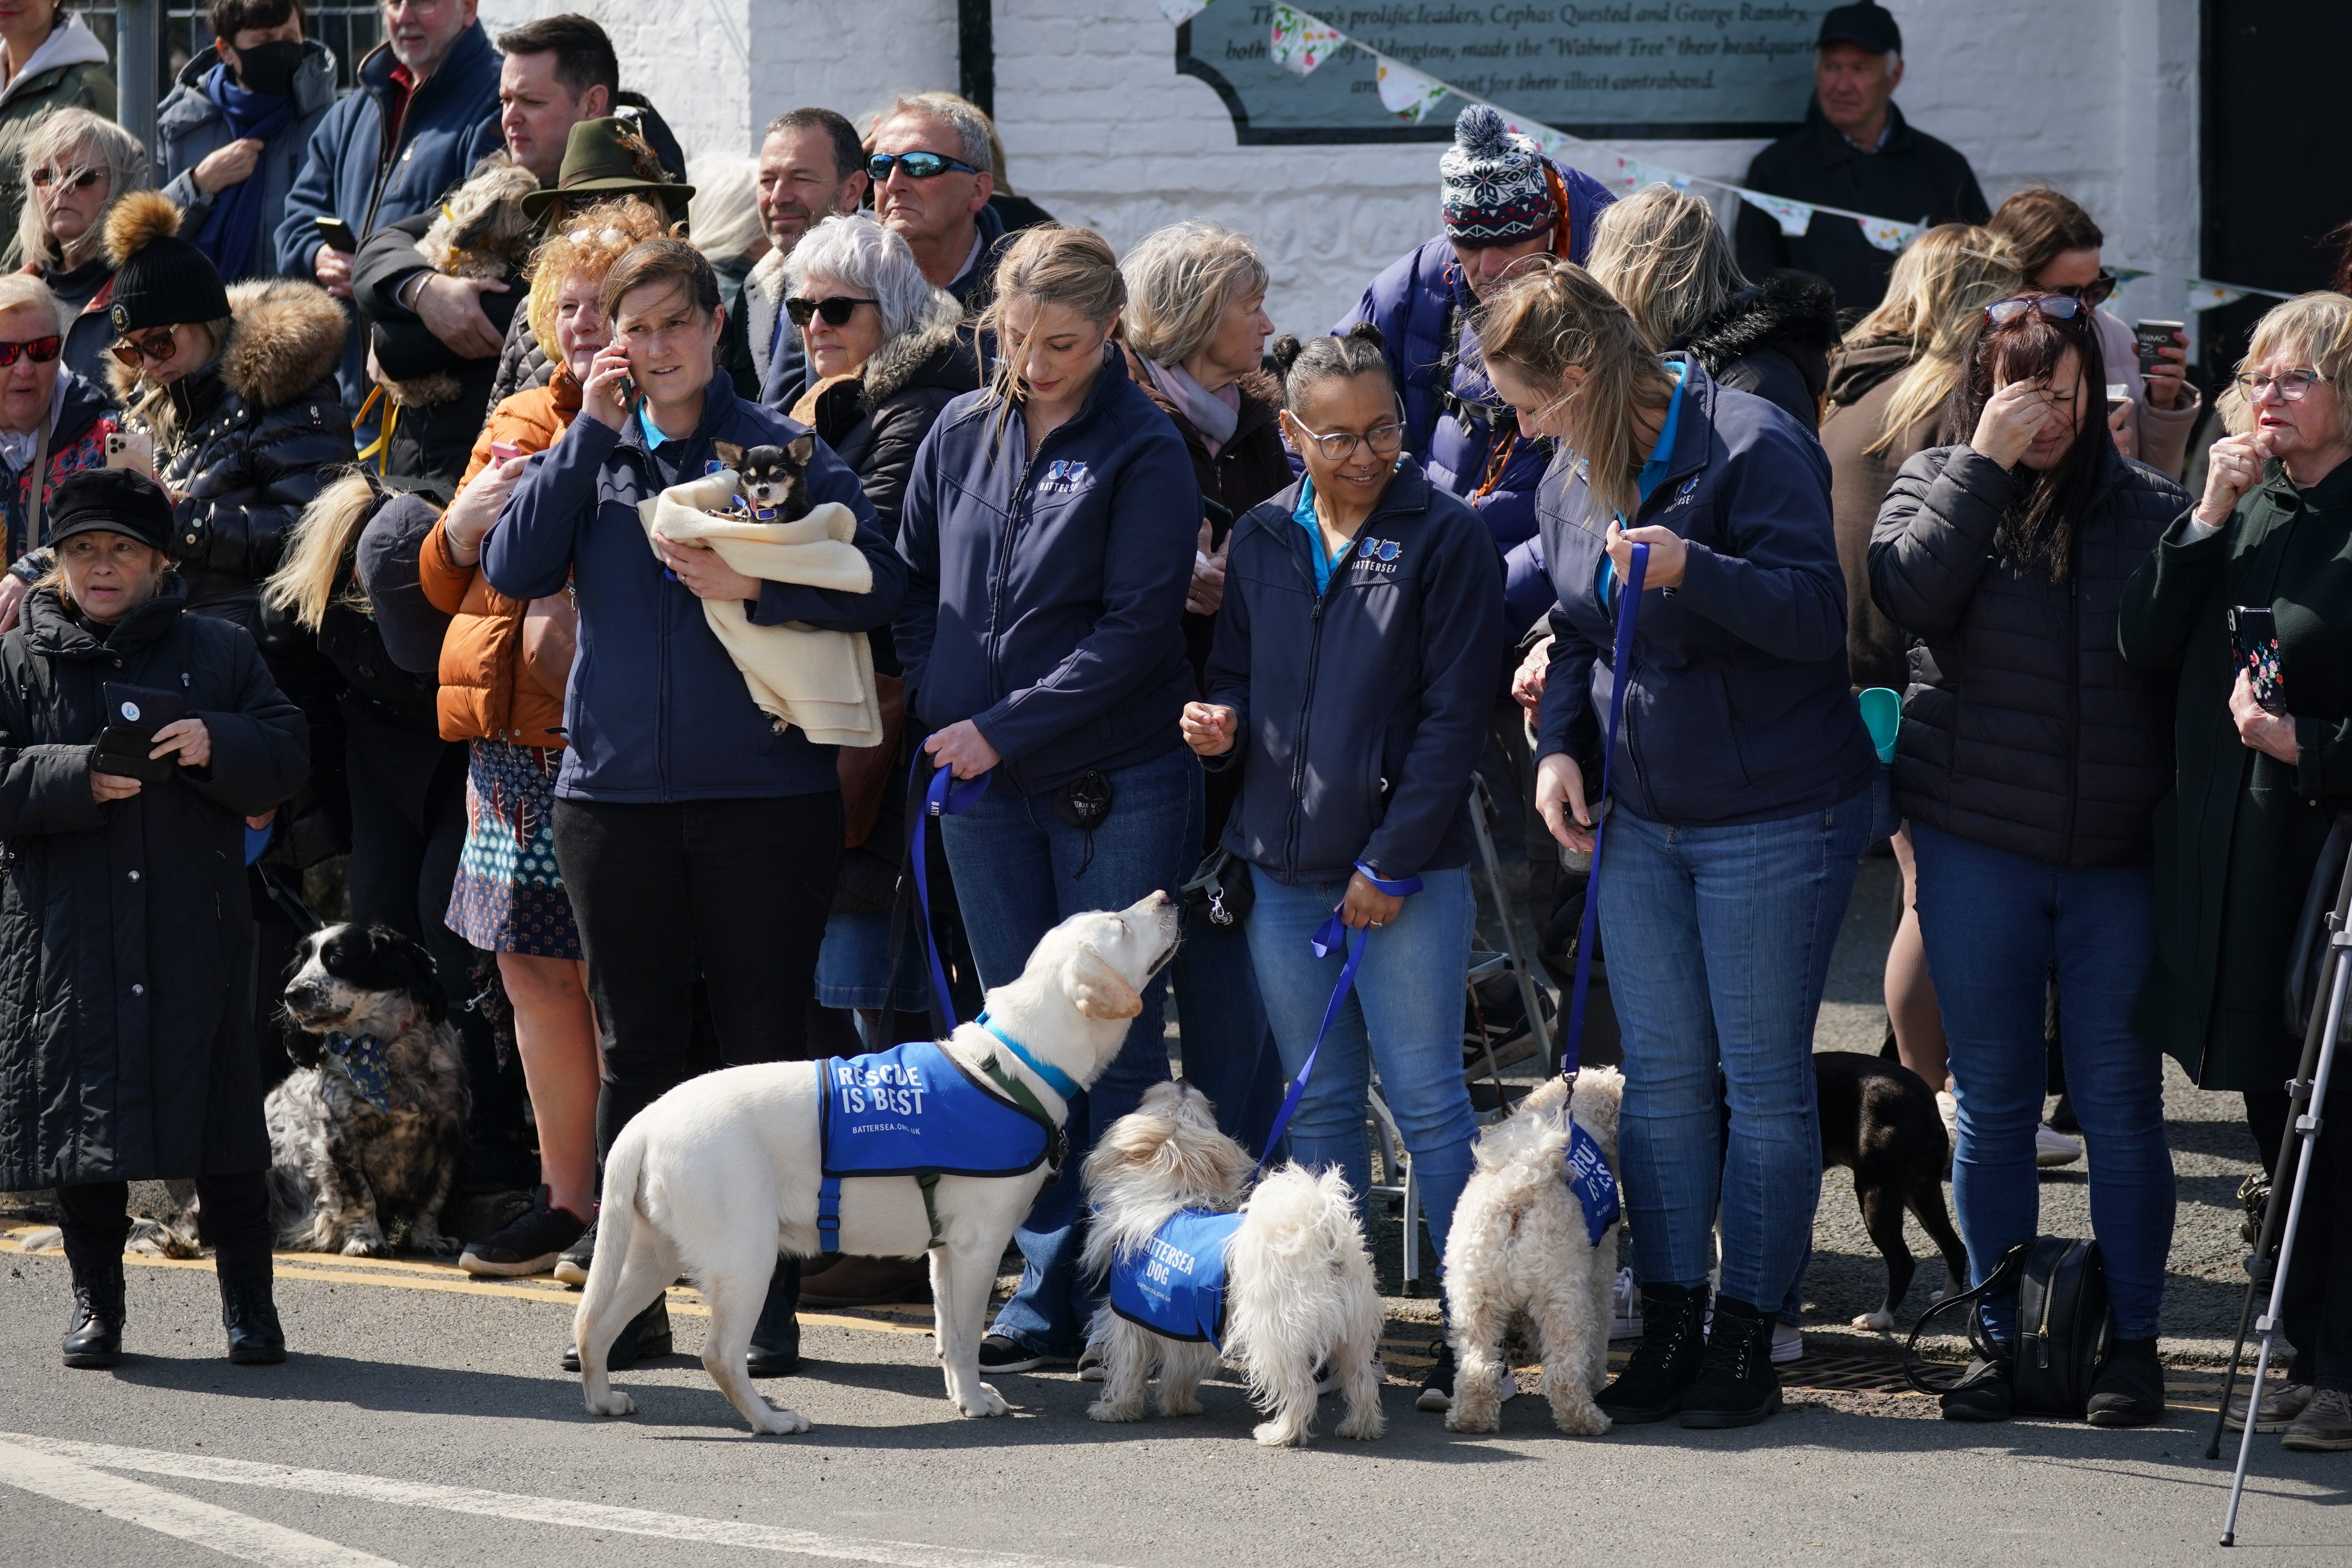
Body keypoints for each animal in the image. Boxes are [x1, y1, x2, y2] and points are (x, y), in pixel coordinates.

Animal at [579, 888, 1185, 1429]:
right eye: (1120, 925)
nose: (1167, 895)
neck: (1017, 1066)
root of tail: (649, 1117)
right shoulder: (979, 1246)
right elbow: (964, 1338)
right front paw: (976, 1402)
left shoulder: (945, 1252)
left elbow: (948, 1335)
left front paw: (962, 1394)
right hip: (745, 1254)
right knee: (719, 1354)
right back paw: (770, 1420)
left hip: (655, 1253)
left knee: (593, 1328)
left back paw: (605, 1400)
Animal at [1077, 1086, 1383, 1457]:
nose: (1183, 1080)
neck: (1173, 1194)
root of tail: (1323, 1237)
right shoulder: (1187, 1320)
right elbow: (1182, 1368)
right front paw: (1179, 1405)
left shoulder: (1130, 1320)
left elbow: (1127, 1367)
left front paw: (1115, 1409)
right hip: (1353, 1334)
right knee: (1361, 1381)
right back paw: (1360, 1428)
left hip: (1275, 1335)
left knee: (1300, 1388)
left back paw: (1280, 1434)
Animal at [1439, 1067, 1628, 1439]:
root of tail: (1518, 1186)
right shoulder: (1599, 1274)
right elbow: (1600, 1334)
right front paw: (1597, 1381)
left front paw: (1521, 1345)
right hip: (1564, 1298)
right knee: (1563, 1371)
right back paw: (1585, 1420)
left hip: (1472, 1300)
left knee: (1477, 1366)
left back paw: (1470, 1420)